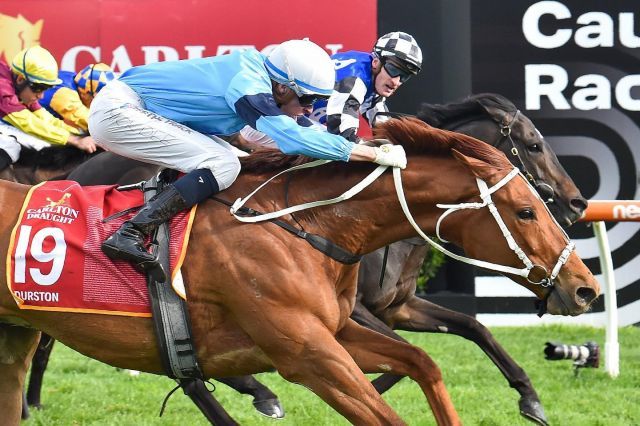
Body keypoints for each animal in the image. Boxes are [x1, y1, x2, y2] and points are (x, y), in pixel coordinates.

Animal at [0, 117, 600, 426]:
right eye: (525, 210)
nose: (585, 288)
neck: (309, 224)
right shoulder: (308, 354)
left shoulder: (337, 330)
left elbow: (423, 361)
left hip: (16, 333)